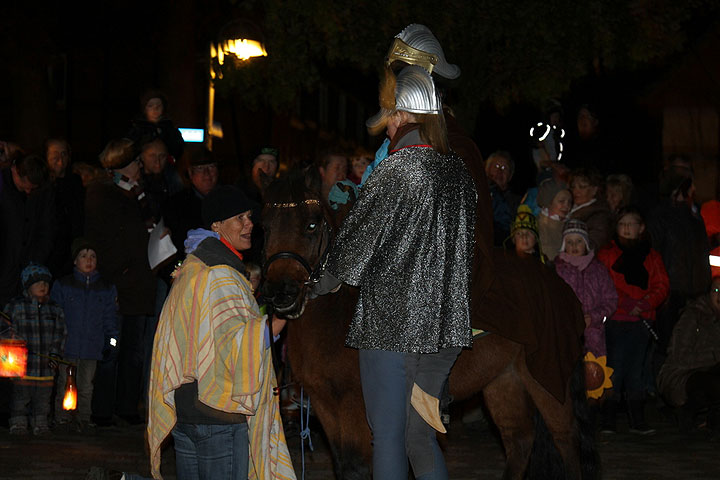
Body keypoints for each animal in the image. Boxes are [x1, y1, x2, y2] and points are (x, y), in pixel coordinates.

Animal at [258, 172, 596, 480]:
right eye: (265, 225)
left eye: (311, 225)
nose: (279, 291)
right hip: (503, 380)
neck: (336, 316)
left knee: (566, 442)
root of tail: (559, 286)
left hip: (548, 383)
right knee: (520, 440)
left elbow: (361, 466)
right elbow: (345, 467)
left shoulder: (357, 407)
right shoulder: (325, 405)